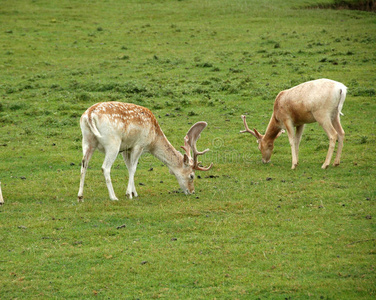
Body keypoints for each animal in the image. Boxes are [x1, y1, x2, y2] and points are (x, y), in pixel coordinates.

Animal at [77, 101, 212, 202]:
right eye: (192, 176)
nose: (192, 191)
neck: (153, 140)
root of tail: (89, 114)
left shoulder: (126, 148)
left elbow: (129, 167)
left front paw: (134, 192)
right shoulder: (139, 145)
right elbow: (133, 168)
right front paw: (129, 194)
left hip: (87, 141)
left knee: (84, 164)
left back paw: (80, 196)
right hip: (113, 143)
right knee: (105, 167)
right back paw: (113, 197)